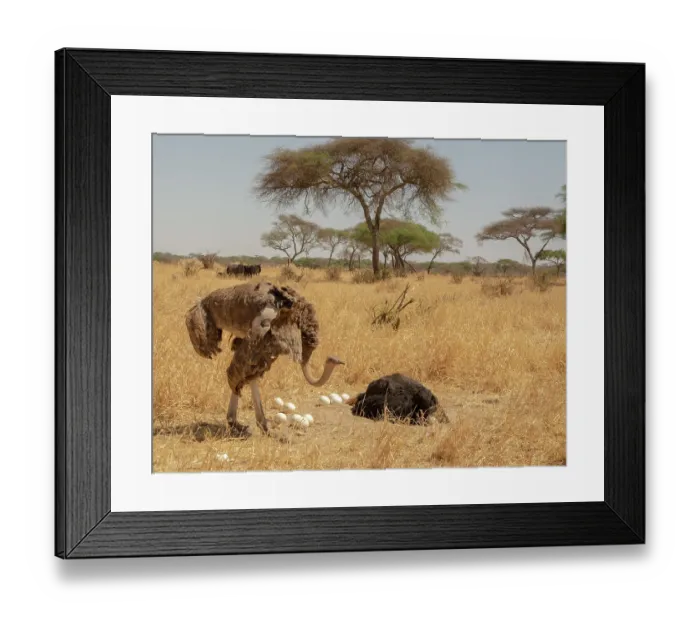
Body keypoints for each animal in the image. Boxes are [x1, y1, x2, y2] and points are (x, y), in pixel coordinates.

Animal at [185, 281, 344, 436]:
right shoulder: (267, 342)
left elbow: (251, 377)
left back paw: (239, 423)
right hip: (258, 339)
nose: (341, 361)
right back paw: (239, 423)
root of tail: (201, 304)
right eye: (333, 360)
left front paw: (259, 425)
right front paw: (262, 427)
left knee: (243, 375)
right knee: (235, 372)